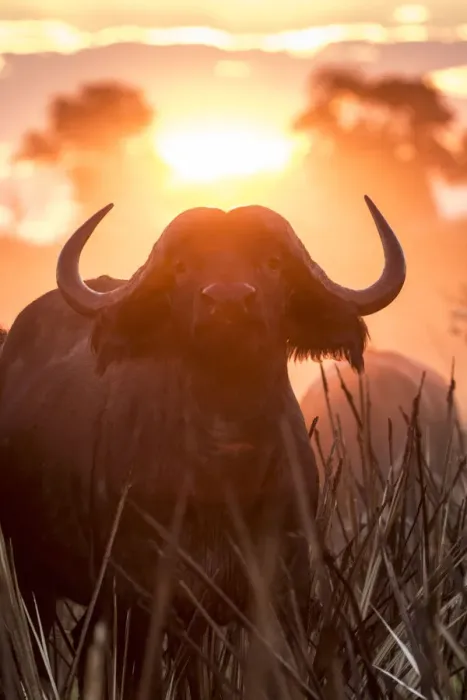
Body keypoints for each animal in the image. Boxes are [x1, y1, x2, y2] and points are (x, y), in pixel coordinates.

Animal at [0, 197, 405, 696]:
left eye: (273, 263)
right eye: (182, 267)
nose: (228, 302)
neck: (225, 468)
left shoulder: (284, 589)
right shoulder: (137, 596)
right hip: (31, 578)